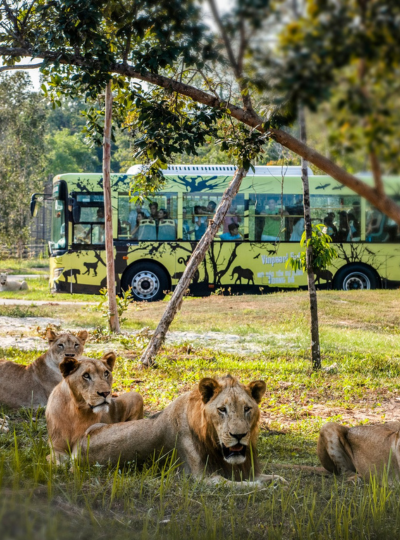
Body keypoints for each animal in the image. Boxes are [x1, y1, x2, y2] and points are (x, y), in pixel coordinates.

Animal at [74, 376, 288, 486]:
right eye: (222, 410)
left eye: (247, 409)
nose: (239, 436)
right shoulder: (201, 477)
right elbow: (238, 484)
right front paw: (264, 487)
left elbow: (273, 477)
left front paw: (279, 481)